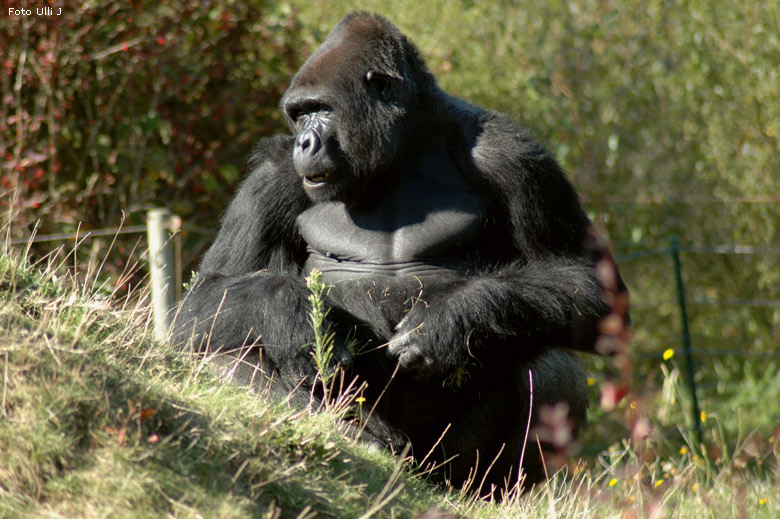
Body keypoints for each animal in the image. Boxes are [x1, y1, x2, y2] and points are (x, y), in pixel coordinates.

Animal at [171, 12, 628, 498]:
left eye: (321, 109)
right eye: (298, 115)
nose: (303, 144)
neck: (401, 149)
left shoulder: (514, 156)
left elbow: (588, 285)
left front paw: (452, 319)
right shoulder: (272, 176)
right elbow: (206, 297)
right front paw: (289, 315)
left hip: (437, 464)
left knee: (549, 366)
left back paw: (484, 489)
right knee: (222, 354)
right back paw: (358, 439)